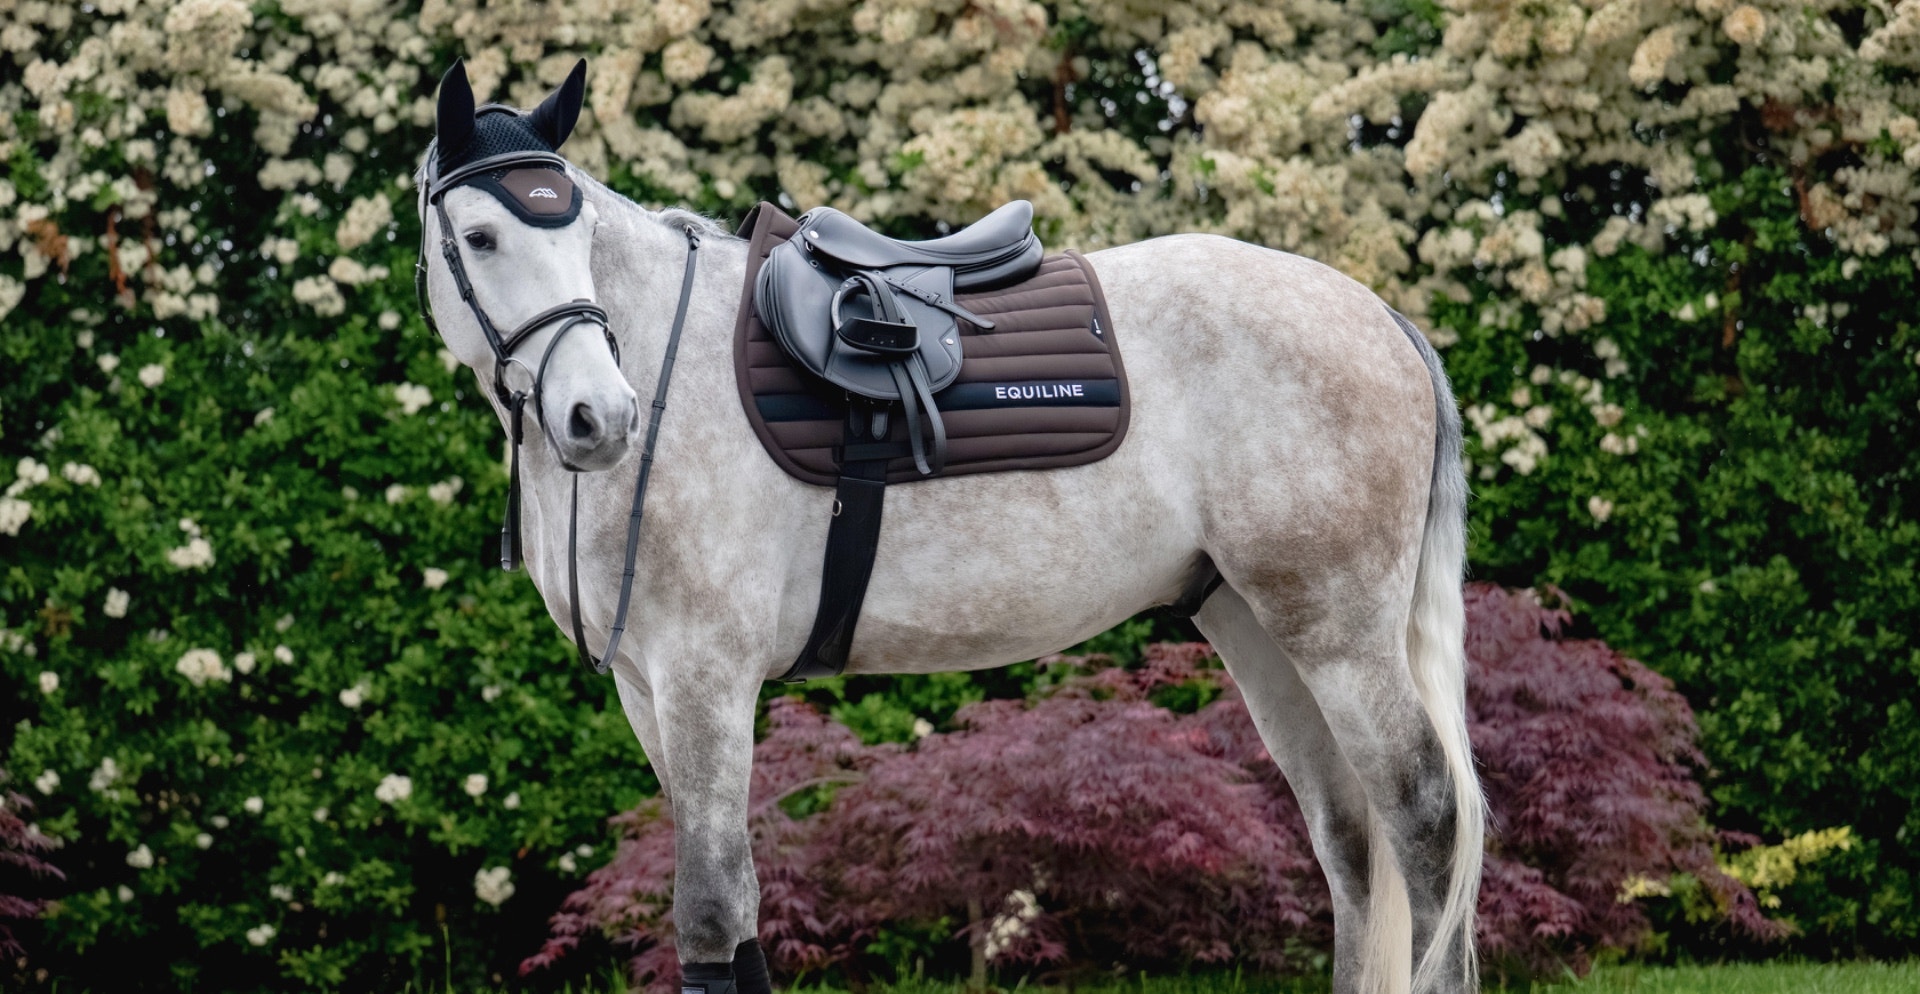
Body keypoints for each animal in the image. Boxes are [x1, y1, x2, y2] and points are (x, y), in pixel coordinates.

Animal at [413, 60, 1483, 994]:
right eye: (480, 237)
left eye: (577, 230)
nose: (599, 417)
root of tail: (1381, 316)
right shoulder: (650, 690)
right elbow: (734, 913)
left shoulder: (707, 678)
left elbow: (712, 912)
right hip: (1257, 628)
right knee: (1350, 840)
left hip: (1337, 633)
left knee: (1426, 817)